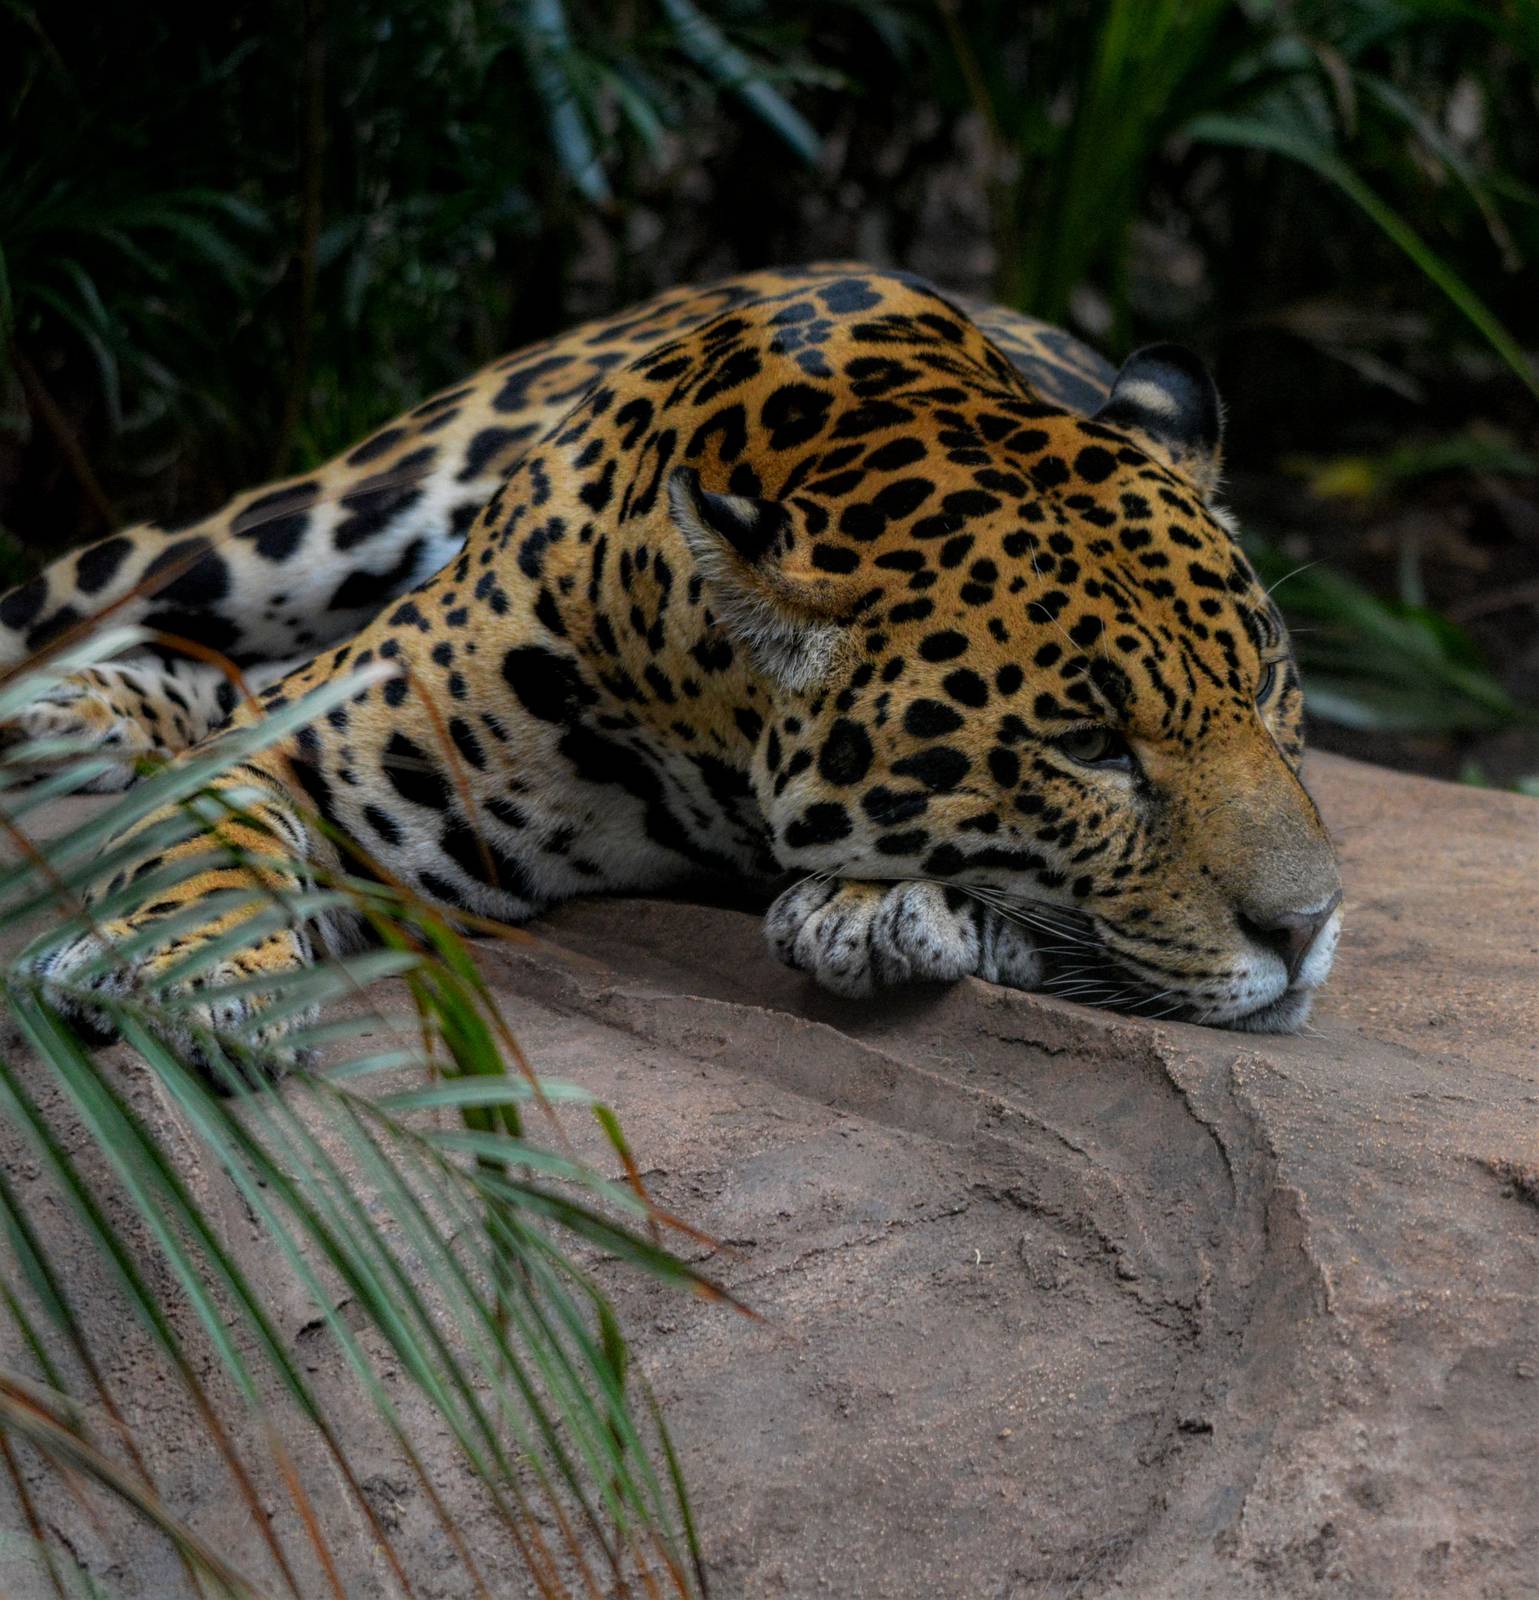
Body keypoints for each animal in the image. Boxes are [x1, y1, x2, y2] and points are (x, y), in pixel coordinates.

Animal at [0, 263, 1342, 1067]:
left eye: (1270, 692)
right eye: (1090, 746)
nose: (1309, 928)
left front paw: (879, 906)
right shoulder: (314, 737)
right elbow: (199, 828)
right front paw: (177, 968)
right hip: (314, 518)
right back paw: (63, 711)